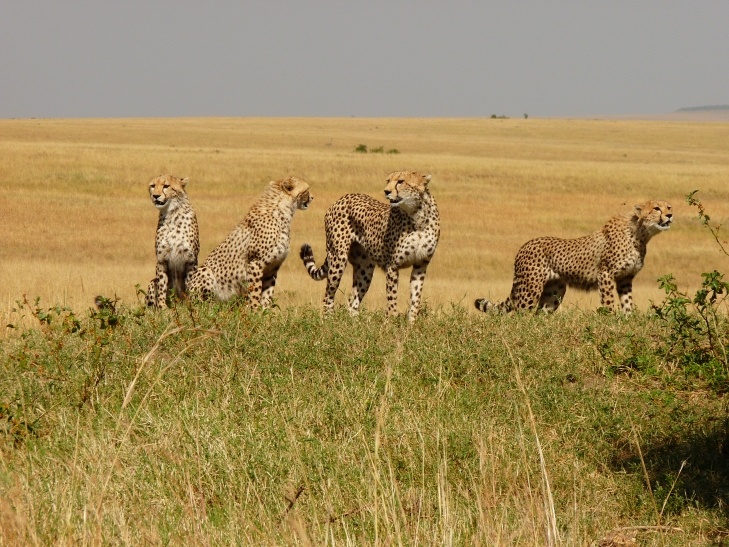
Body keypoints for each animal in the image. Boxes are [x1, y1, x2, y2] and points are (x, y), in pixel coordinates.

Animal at [146, 174, 200, 308]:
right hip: (151, 283)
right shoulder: (162, 260)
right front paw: (162, 307)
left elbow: (190, 285)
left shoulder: (191, 260)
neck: (172, 214)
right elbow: (161, 285)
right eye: (153, 186)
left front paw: (190, 305)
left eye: (166, 186)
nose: (155, 196)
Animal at [186, 177, 313, 307]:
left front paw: (265, 311)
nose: (312, 197)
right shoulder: (255, 263)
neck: (283, 210)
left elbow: (267, 294)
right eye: (307, 190)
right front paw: (255, 310)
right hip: (205, 272)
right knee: (203, 305)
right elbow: (255, 292)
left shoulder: (273, 267)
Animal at [300, 171, 440, 322]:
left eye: (401, 181)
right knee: (328, 296)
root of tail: (343, 197)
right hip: (338, 258)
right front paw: (390, 323)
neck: (417, 215)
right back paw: (329, 321)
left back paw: (356, 325)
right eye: (388, 181)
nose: (386, 191)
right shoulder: (393, 266)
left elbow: (416, 299)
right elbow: (392, 300)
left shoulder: (421, 265)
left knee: (353, 303)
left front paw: (411, 324)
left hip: (364, 268)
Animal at [475, 200, 673, 315]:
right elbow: (609, 302)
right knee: (519, 314)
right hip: (530, 289)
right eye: (656, 208)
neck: (639, 234)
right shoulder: (605, 274)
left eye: (669, 207)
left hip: (555, 291)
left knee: (540, 313)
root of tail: (525, 245)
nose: (670, 215)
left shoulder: (625, 278)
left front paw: (627, 321)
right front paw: (611, 321)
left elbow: (627, 303)